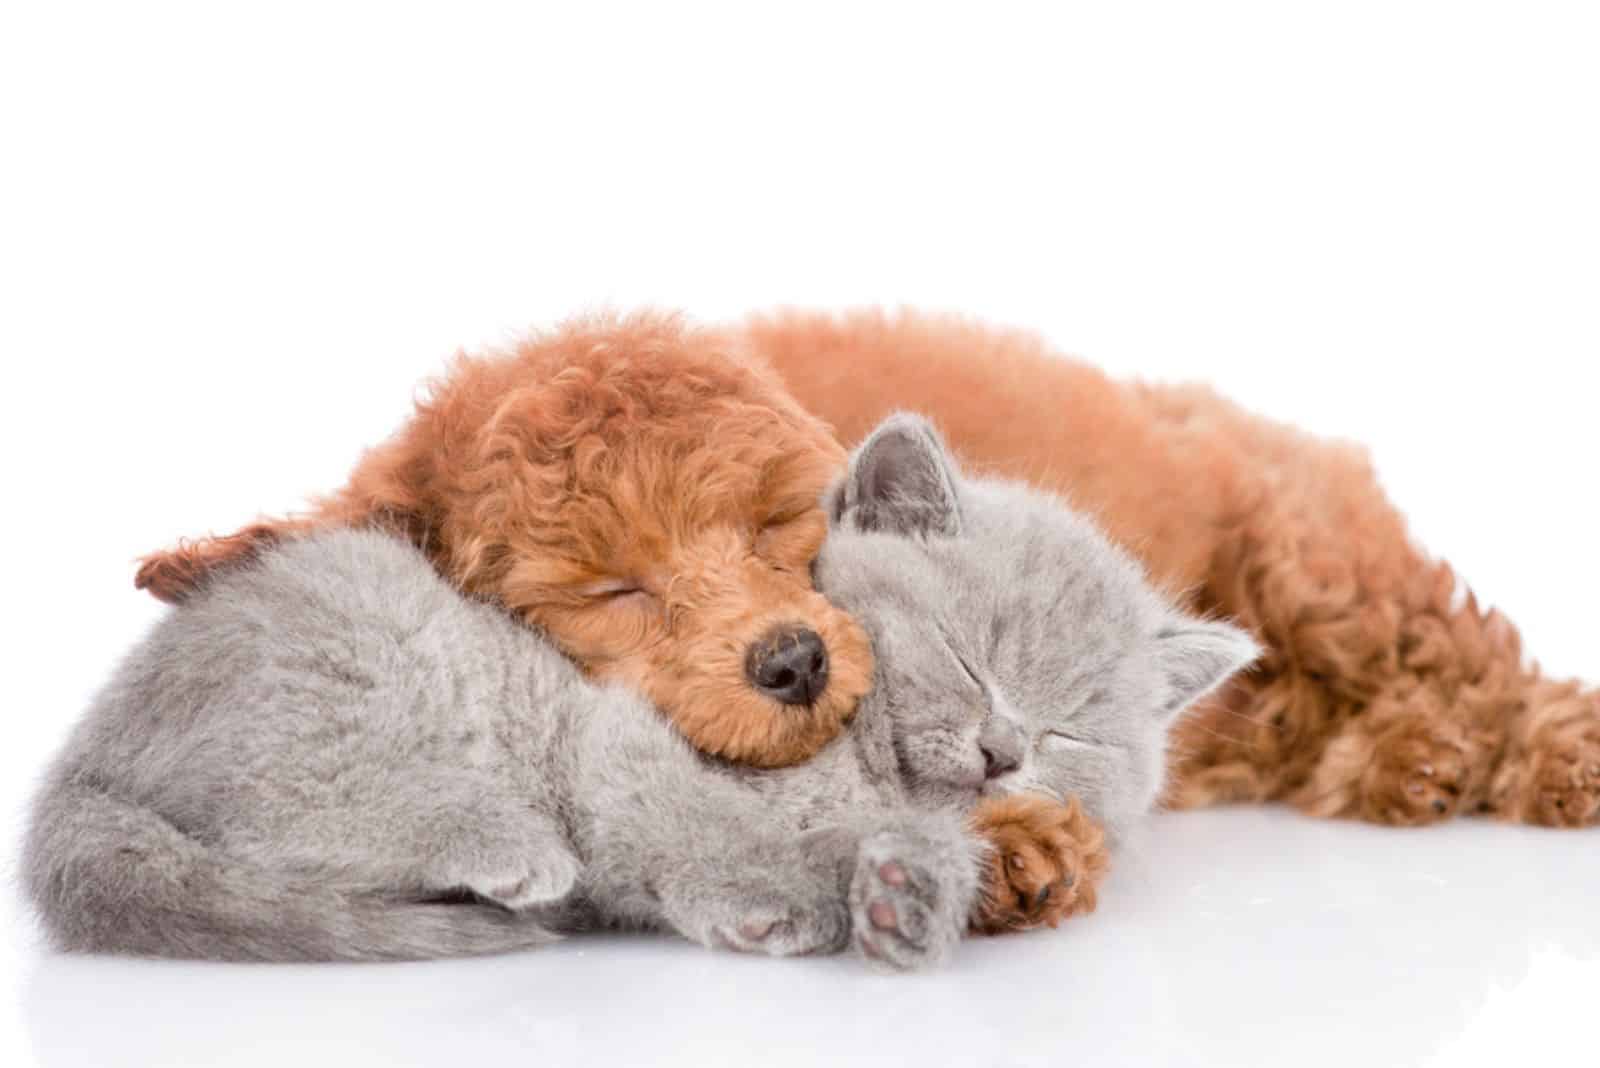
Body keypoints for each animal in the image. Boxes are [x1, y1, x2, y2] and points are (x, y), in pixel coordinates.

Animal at [18, 412, 1254, 972]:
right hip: (364, 657)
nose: (1003, 749)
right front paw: (781, 897)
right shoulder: (620, 737)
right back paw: (505, 848)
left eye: (1075, 731)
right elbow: (695, 825)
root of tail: (82, 757)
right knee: (284, 812)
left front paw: (907, 895)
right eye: (965, 653)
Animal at [745, 308, 1600, 824]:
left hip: (1319, 578)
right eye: (959, 659)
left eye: (1071, 726)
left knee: (1479, 659)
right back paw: (1410, 763)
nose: (1003, 754)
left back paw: (1553, 761)